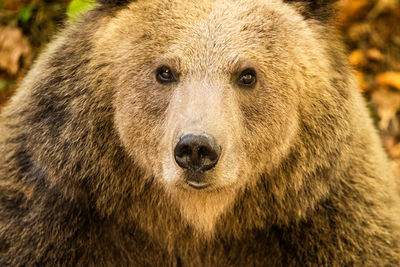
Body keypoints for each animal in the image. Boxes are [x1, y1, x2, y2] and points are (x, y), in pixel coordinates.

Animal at [0, 0, 400, 266]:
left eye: (247, 74)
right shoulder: (58, 208)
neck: (197, 222)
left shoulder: (329, 222)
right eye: (165, 70)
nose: (196, 148)